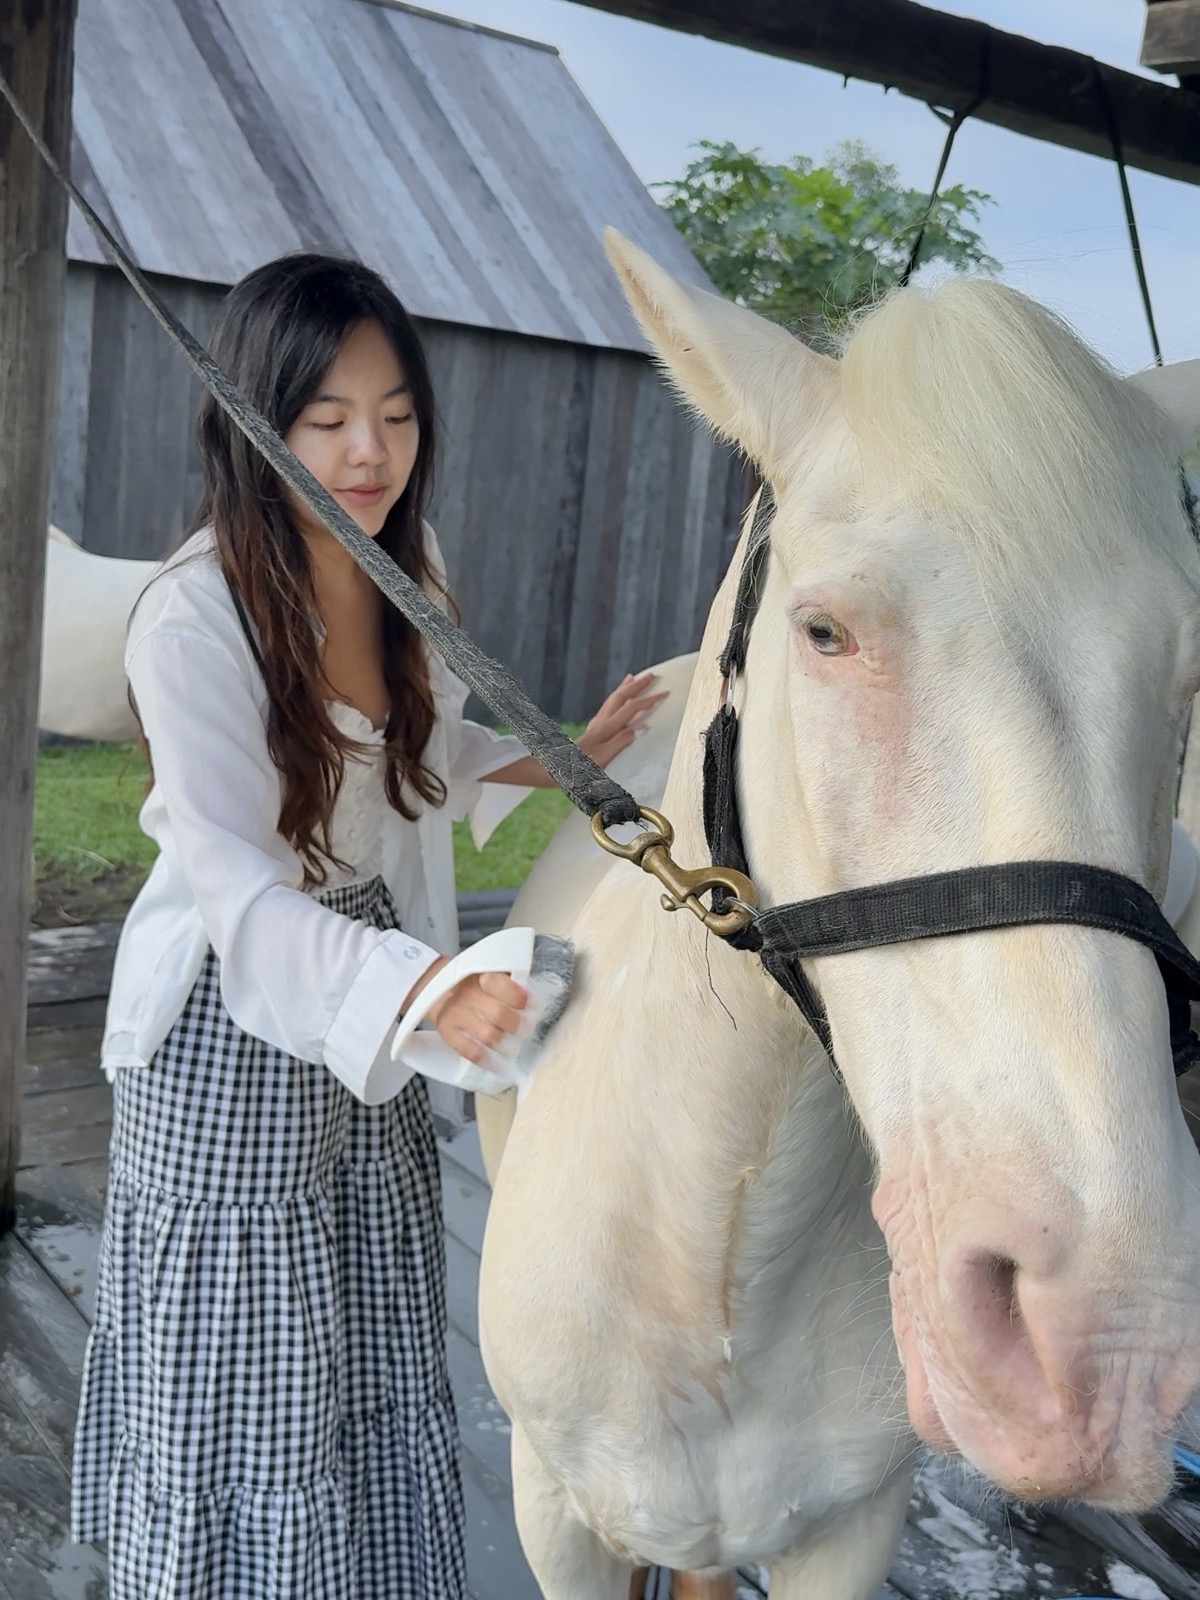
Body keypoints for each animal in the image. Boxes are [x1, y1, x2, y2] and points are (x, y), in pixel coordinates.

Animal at [475, 230, 1200, 1599]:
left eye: (1191, 679)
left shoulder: (849, 1529)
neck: (716, 1268)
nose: (1106, 1340)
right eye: (825, 630)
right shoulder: (557, 1512)